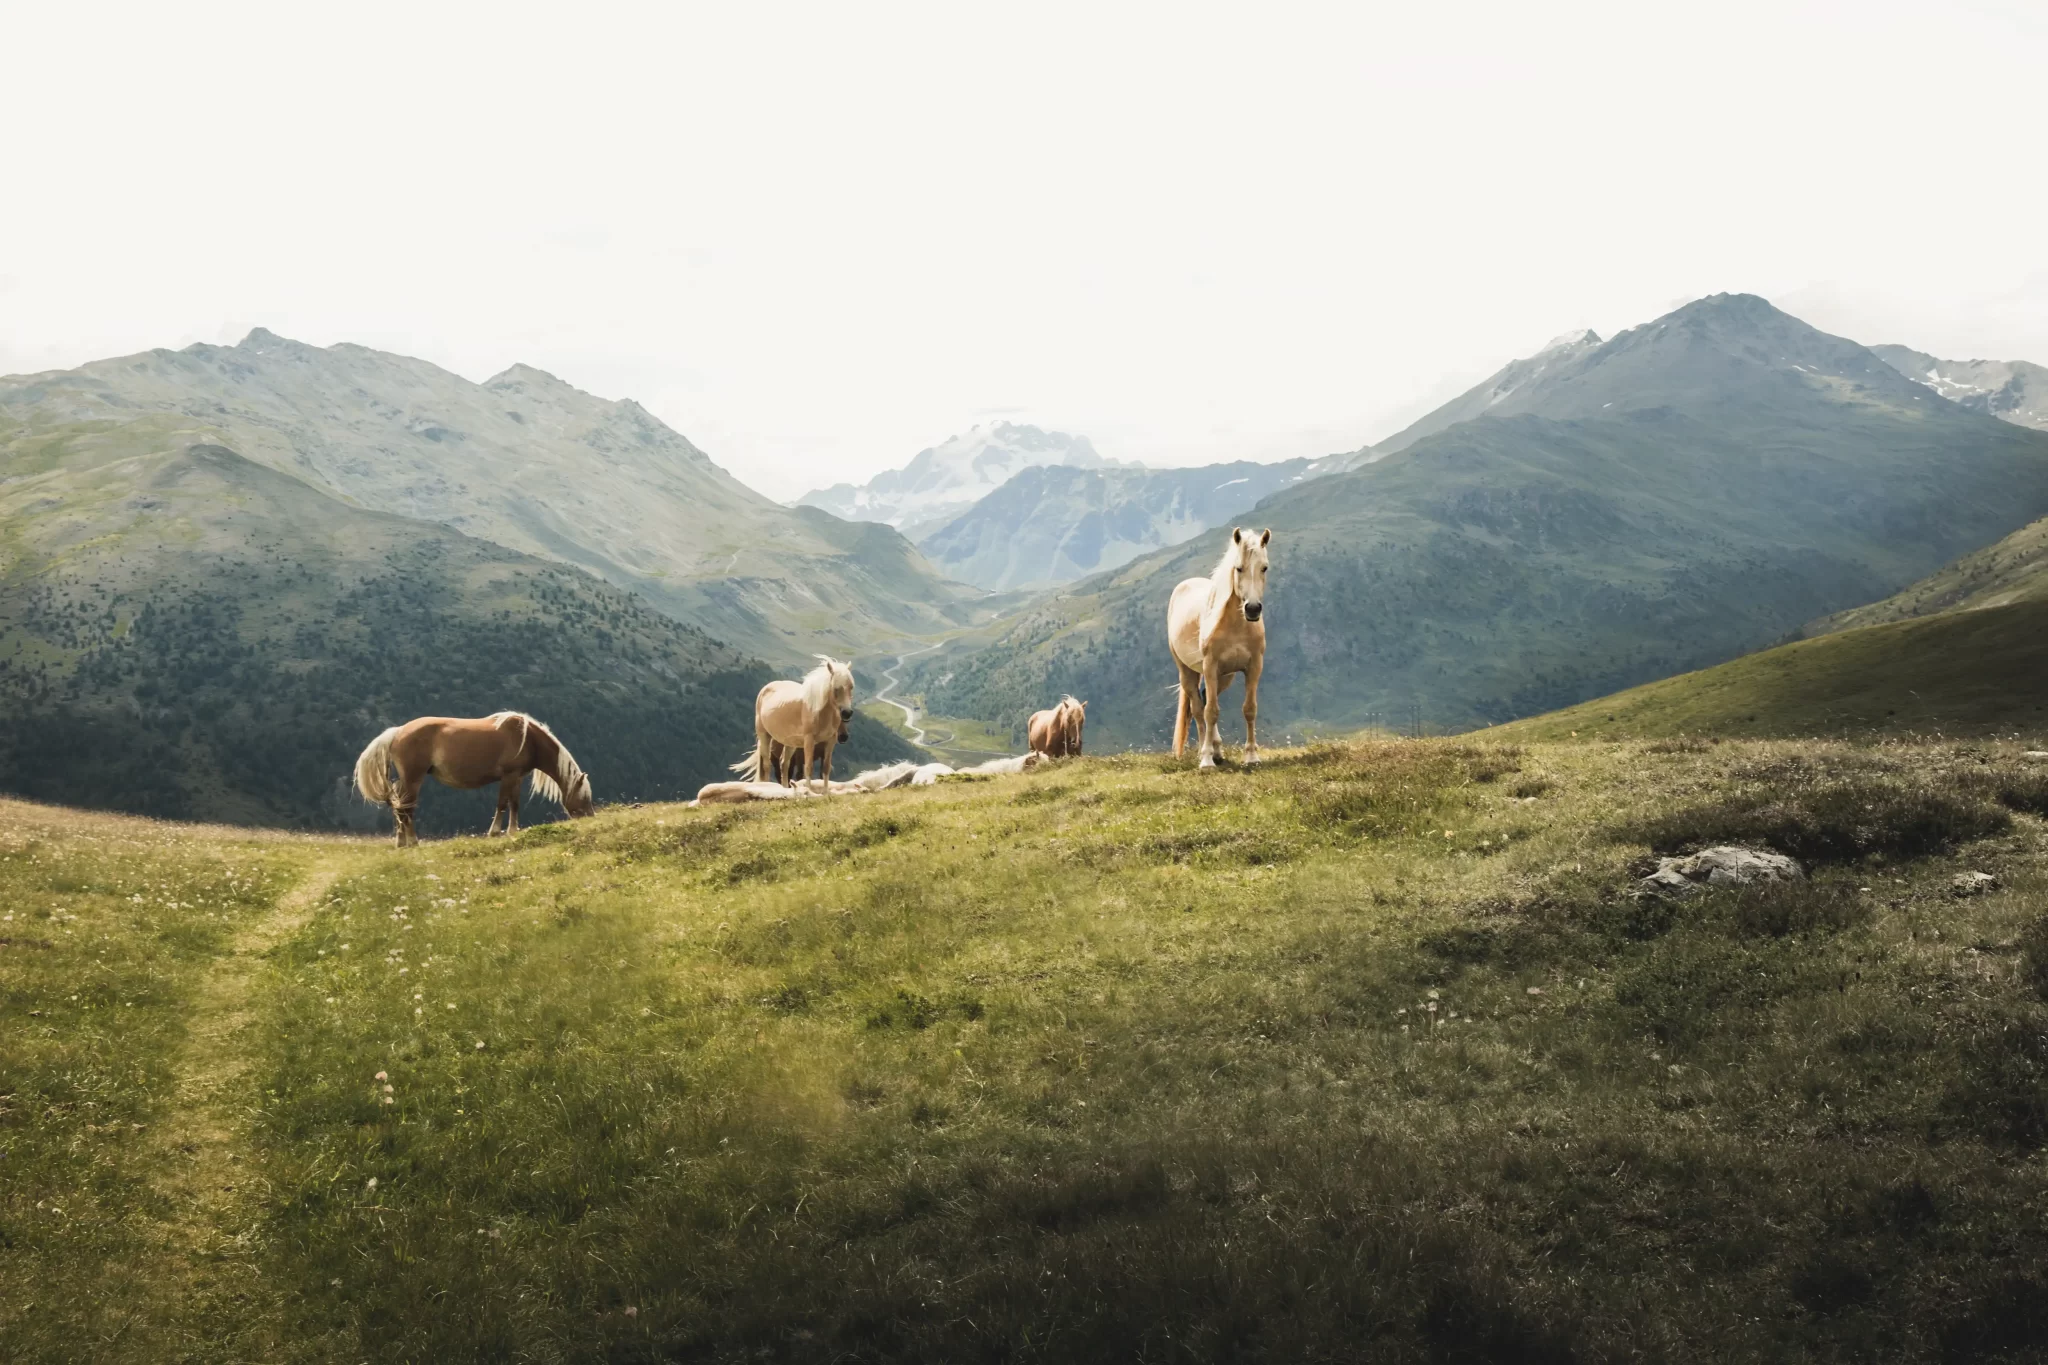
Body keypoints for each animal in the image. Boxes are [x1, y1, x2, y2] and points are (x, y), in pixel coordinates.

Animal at [353, 711, 594, 847]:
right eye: (584, 797)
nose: (591, 817)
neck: (528, 738)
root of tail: (399, 731)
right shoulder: (508, 776)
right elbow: (502, 804)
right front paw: (495, 832)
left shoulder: (516, 778)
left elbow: (514, 804)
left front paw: (513, 831)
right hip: (414, 779)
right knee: (407, 808)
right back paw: (412, 842)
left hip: (405, 781)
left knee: (400, 809)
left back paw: (401, 842)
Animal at [732, 656, 855, 793]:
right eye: (836, 688)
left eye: (851, 687)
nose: (847, 713)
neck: (820, 711)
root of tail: (765, 689)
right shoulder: (809, 740)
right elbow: (808, 768)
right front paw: (809, 791)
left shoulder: (830, 741)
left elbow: (825, 768)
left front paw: (826, 793)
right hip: (764, 735)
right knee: (767, 765)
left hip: (790, 743)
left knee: (784, 764)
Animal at [1169, 526, 1271, 769]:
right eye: (1239, 568)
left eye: (1264, 567)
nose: (1253, 609)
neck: (1234, 625)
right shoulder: (1210, 666)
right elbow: (1211, 712)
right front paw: (1206, 761)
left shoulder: (1254, 667)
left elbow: (1249, 709)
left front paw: (1251, 756)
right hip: (1188, 672)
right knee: (1199, 709)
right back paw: (1205, 753)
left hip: (1225, 676)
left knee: (1206, 698)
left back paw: (1216, 750)